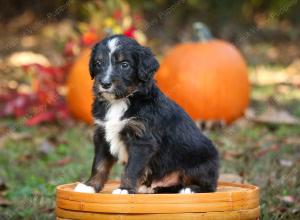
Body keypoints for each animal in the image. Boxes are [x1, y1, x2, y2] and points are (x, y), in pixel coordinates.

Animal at [74, 34, 220, 194]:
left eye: (124, 64)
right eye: (99, 63)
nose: (105, 84)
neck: (121, 100)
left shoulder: (142, 140)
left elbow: (131, 169)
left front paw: (125, 189)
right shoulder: (102, 135)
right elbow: (99, 164)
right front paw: (90, 186)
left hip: (200, 160)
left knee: (209, 185)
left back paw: (190, 189)